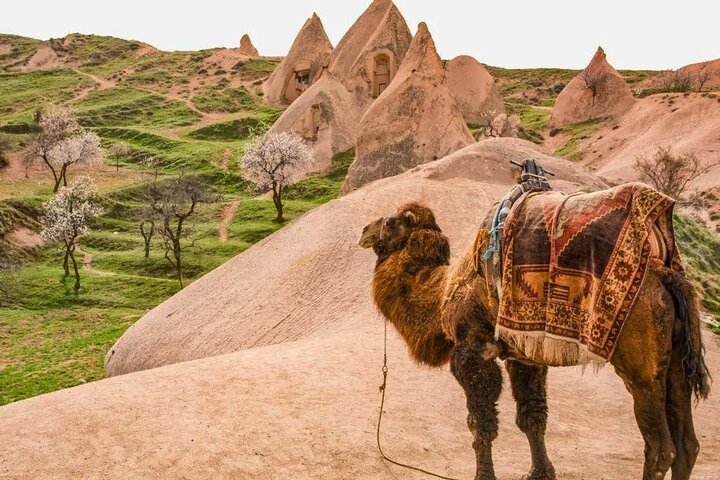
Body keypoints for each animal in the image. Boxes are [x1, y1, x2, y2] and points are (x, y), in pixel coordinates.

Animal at [359, 199, 711, 480]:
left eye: (390, 222)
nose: (364, 230)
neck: (442, 293)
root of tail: (667, 276)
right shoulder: (523, 356)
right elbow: (532, 417)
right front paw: (539, 473)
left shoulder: (472, 351)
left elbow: (480, 422)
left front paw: (484, 475)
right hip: (675, 362)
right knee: (687, 446)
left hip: (640, 370)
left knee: (661, 449)